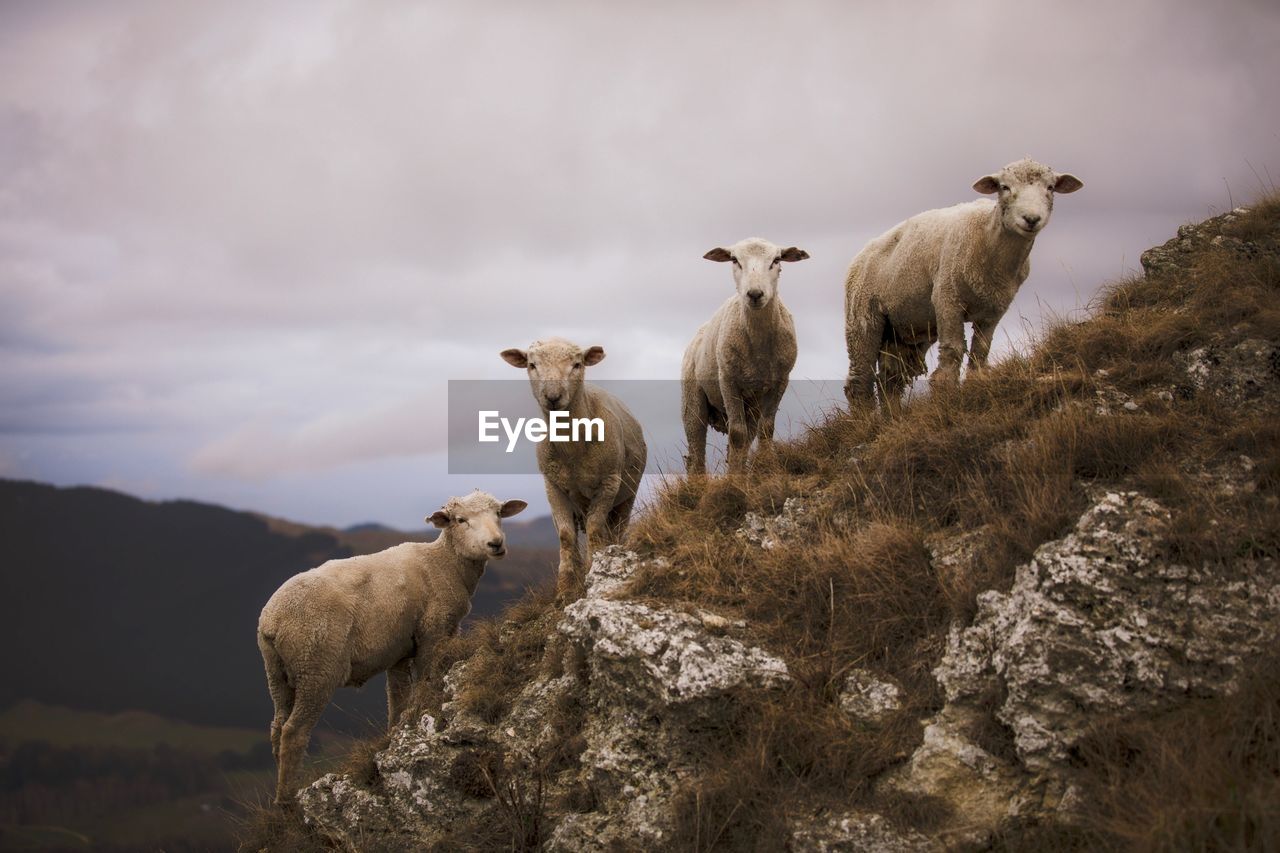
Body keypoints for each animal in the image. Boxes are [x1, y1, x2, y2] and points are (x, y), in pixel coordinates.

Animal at [254, 489, 524, 799]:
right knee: (294, 732)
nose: (496, 543)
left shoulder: (400, 653)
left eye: (499, 514)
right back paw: (288, 800)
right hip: (316, 667)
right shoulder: (433, 632)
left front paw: (395, 735)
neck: (444, 564)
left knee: (276, 727)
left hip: (277, 673)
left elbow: (397, 701)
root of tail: (271, 620)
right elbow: (428, 681)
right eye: (460, 520)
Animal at [496, 335, 645, 601]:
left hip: (627, 495)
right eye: (532, 365)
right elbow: (565, 536)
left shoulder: (608, 483)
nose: (553, 396)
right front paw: (565, 589)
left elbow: (595, 530)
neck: (573, 451)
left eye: (577, 364)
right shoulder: (553, 487)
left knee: (615, 530)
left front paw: (594, 570)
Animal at [680, 235, 808, 473]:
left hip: (753, 402)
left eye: (776, 260)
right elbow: (737, 434)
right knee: (696, 449)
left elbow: (766, 428)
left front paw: (767, 469)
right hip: (692, 400)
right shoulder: (728, 381)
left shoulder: (779, 382)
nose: (755, 294)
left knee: (749, 434)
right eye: (734, 260)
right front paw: (734, 478)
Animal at [844, 160, 1085, 412]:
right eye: (1004, 187)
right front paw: (945, 393)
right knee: (860, 380)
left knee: (890, 380)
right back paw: (866, 418)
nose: (1031, 219)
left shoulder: (995, 308)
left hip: (906, 327)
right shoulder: (947, 297)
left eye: (1050, 187)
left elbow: (981, 350)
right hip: (863, 318)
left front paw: (975, 383)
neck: (989, 242)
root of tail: (861, 254)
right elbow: (953, 350)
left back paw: (893, 417)